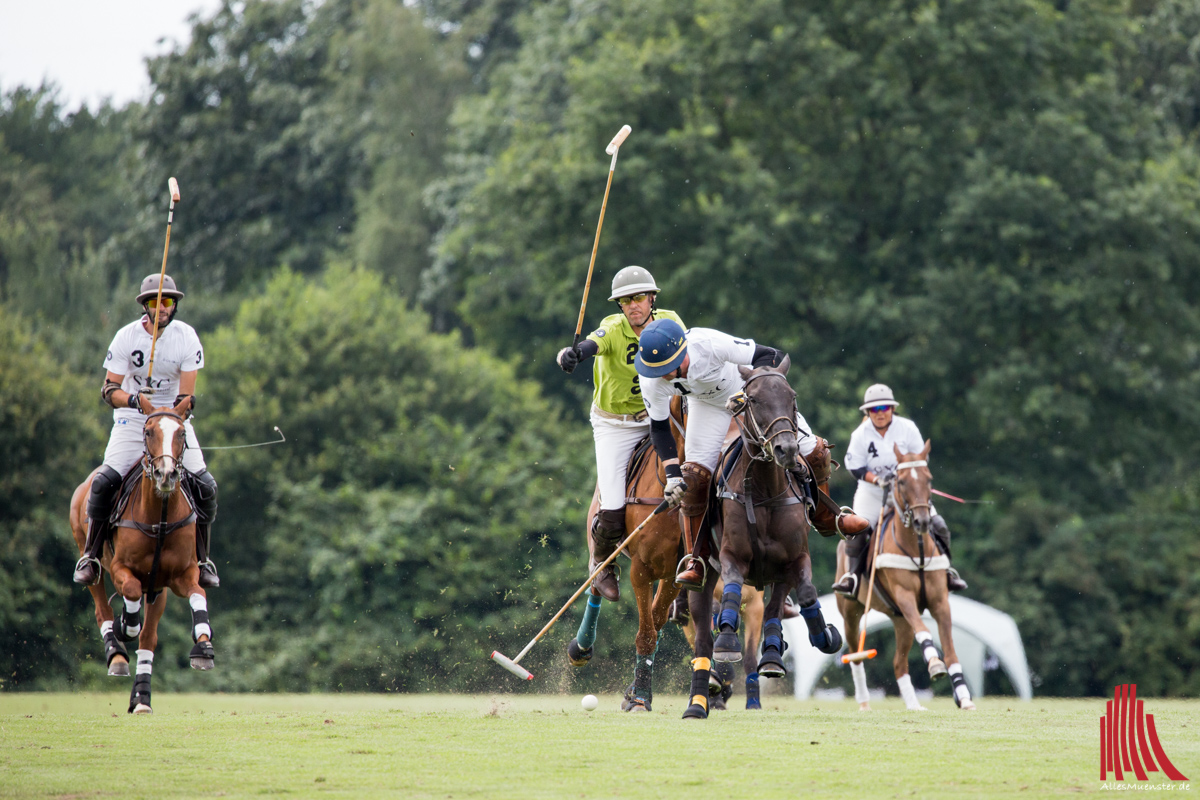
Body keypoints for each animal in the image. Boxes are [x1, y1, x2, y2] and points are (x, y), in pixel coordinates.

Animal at [69, 393, 216, 714]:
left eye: (182, 434)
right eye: (148, 432)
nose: (166, 474)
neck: (159, 516)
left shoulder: (180, 575)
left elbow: (199, 594)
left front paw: (203, 647)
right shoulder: (122, 569)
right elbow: (131, 593)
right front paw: (125, 626)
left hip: (158, 589)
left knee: (149, 637)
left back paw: (142, 698)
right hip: (91, 557)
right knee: (101, 605)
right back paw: (117, 654)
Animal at [568, 395, 691, 714]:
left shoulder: (674, 572)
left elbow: (654, 626)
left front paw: (635, 692)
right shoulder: (641, 568)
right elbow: (646, 633)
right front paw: (639, 699)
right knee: (598, 574)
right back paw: (581, 647)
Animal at [686, 359, 844, 724]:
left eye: (792, 397)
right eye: (755, 400)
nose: (787, 448)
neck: (765, 491)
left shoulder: (792, 561)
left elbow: (802, 595)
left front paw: (815, 638)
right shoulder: (731, 556)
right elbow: (730, 592)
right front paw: (727, 640)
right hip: (700, 576)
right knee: (702, 639)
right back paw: (697, 703)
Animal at [835, 443, 974, 714]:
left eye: (929, 478)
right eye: (900, 481)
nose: (922, 521)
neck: (916, 549)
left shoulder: (939, 601)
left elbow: (950, 649)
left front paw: (963, 697)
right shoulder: (905, 596)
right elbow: (926, 632)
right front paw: (935, 665)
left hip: (900, 619)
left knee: (899, 663)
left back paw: (914, 705)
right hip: (851, 612)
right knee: (855, 656)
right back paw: (864, 702)